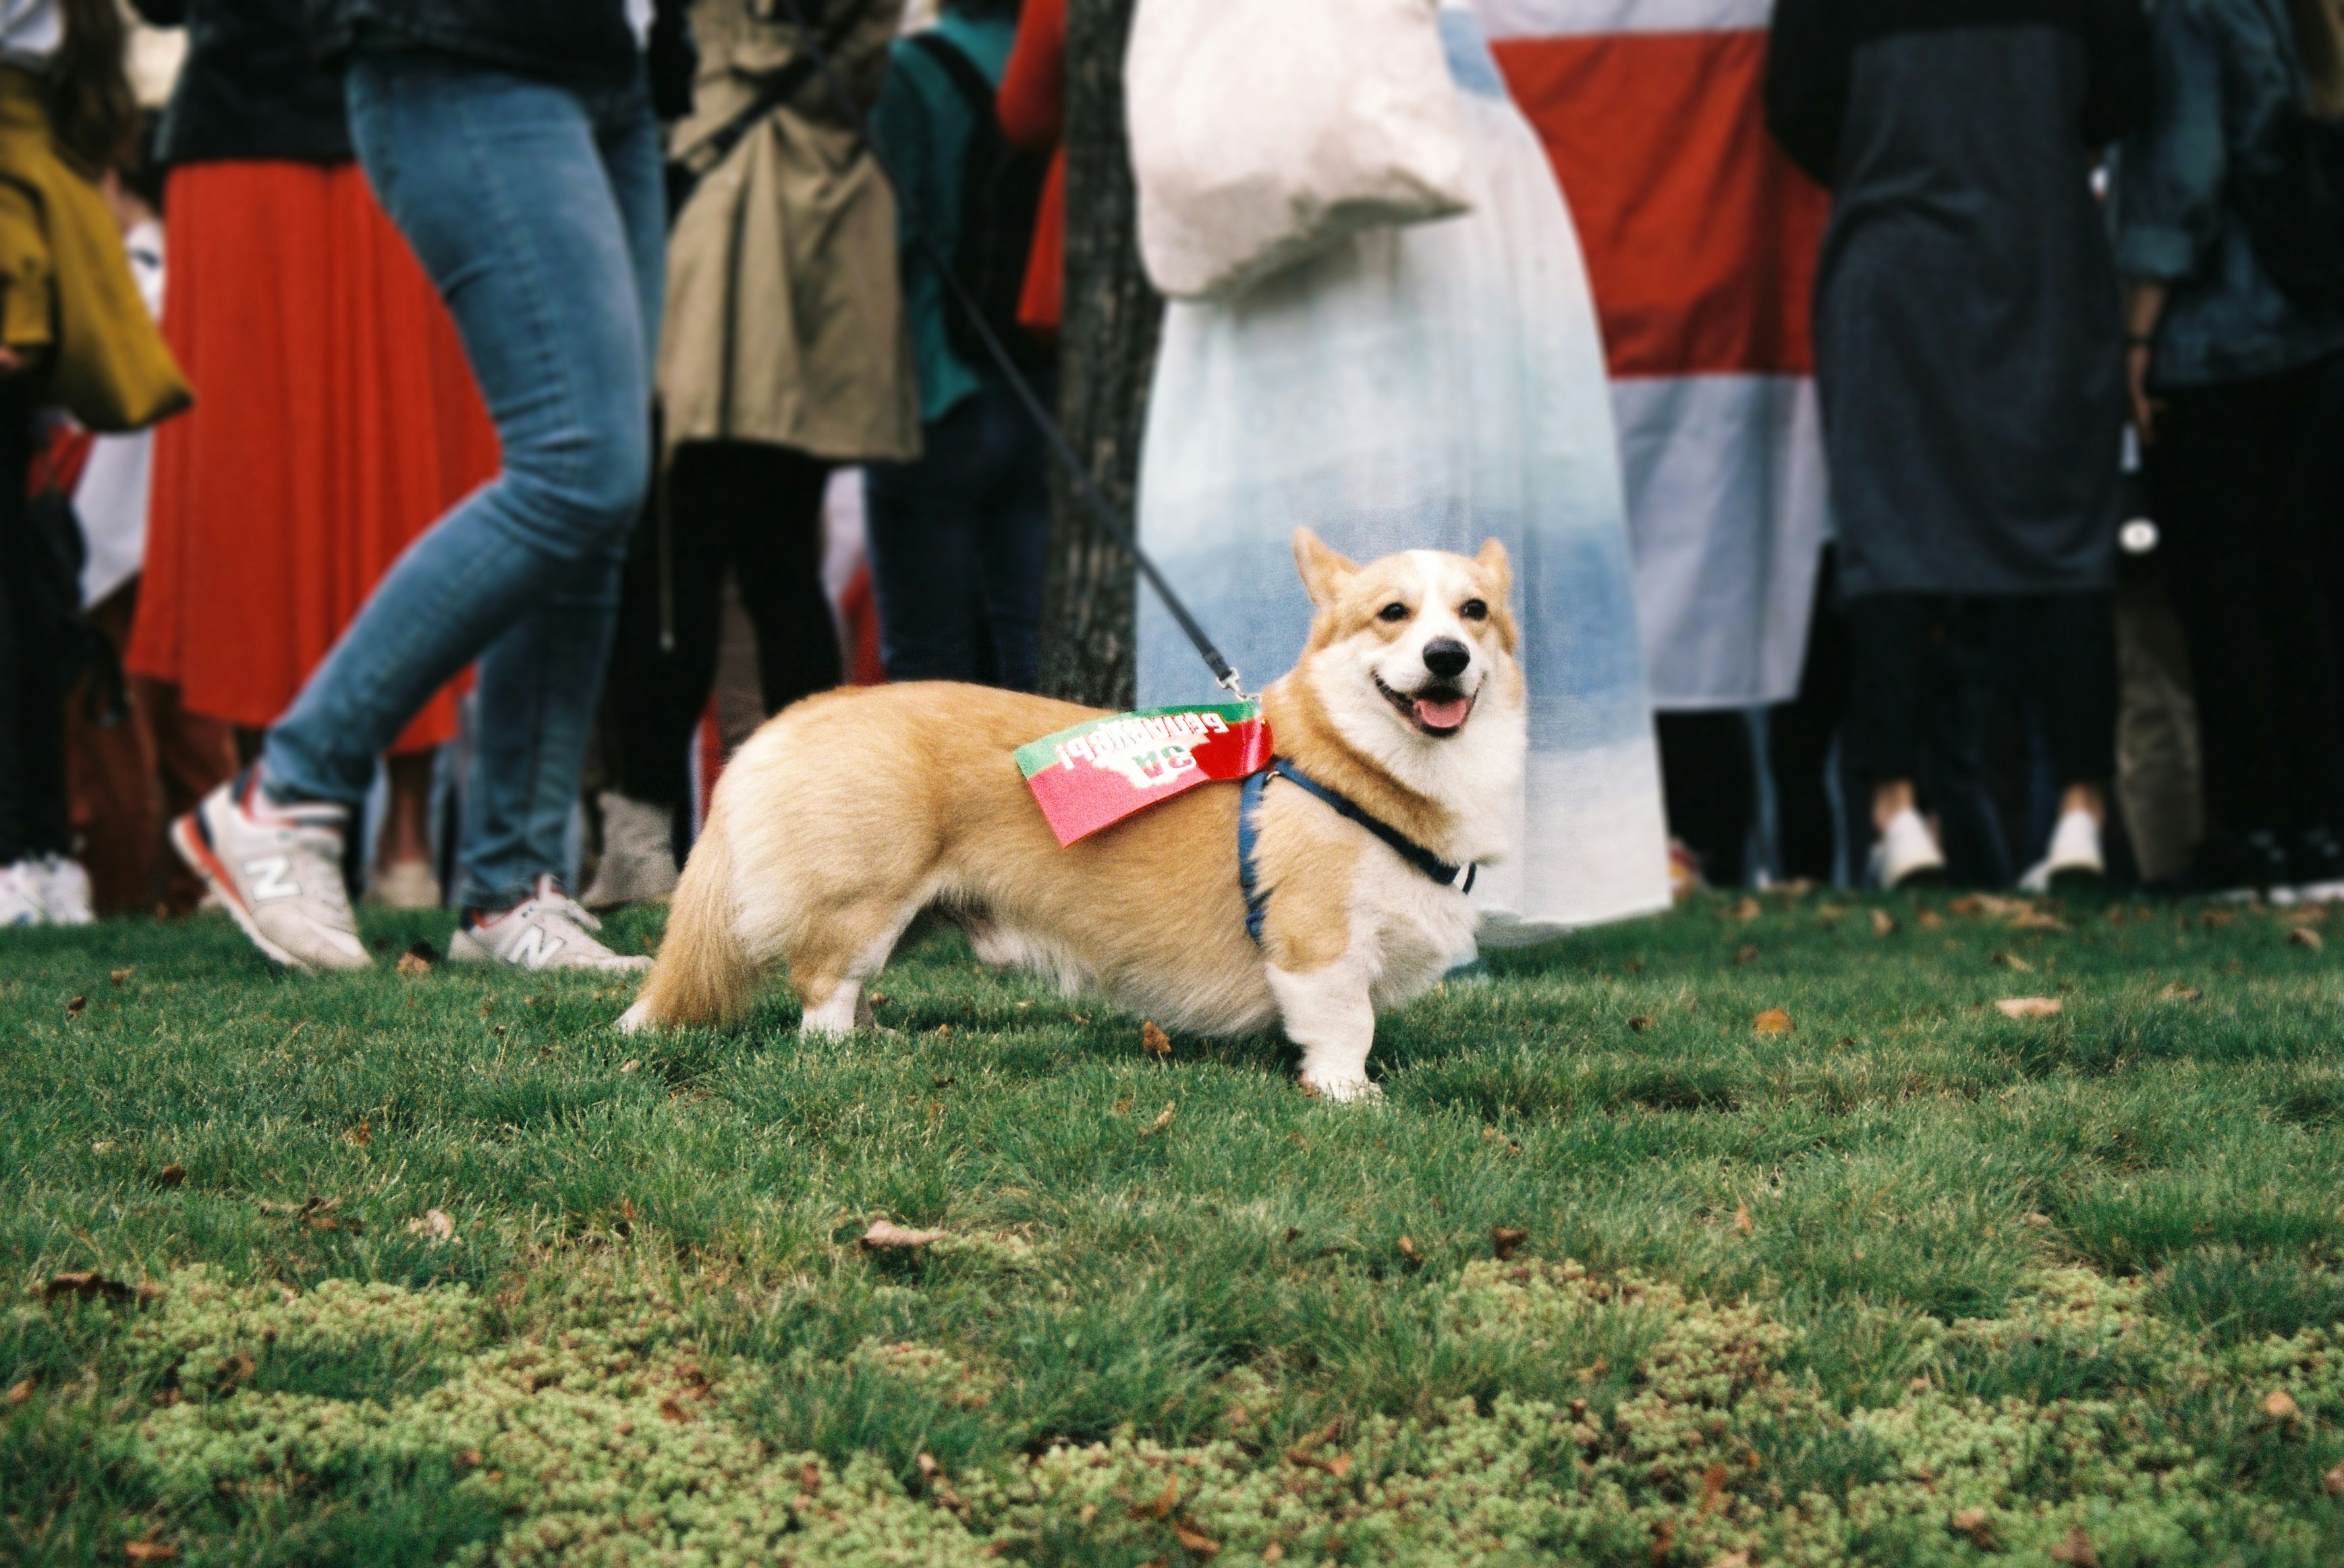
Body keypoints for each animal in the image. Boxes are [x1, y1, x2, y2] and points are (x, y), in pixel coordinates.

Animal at [623, 532, 1528, 1096]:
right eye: (1392, 613)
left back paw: (880, 1041)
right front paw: (1349, 1096)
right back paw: (842, 1056)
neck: (1361, 763)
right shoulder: (1319, 943)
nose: (1446, 657)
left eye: (1474, 612)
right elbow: (1347, 1027)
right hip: (863, 901)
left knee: (855, 985)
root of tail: (791, 719)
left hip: (902, 914)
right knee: (823, 988)